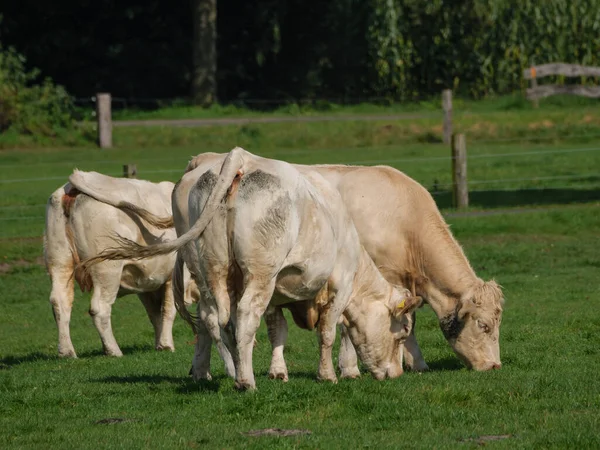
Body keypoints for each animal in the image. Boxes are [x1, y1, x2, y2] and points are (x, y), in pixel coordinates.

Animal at [45, 172, 199, 358]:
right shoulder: (176, 278)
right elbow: (169, 310)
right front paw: (166, 345)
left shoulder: (146, 284)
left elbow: (154, 314)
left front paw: (159, 345)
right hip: (107, 270)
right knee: (99, 308)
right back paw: (113, 350)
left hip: (60, 261)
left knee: (59, 302)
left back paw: (67, 351)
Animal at [82, 149, 424, 390]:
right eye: (402, 331)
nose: (395, 374)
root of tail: (241, 158)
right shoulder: (340, 285)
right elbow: (327, 331)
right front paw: (329, 375)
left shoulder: (276, 296)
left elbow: (276, 331)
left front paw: (278, 372)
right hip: (260, 273)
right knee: (244, 316)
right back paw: (245, 381)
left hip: (207, 268)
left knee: (213, 319)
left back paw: (217, 371)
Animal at [184, 153, 506, 370]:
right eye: (484, 325)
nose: (494, 366)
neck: (405, 220)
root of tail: (206, 159)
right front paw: (355, 366)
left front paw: (413, 362)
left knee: (209, 318)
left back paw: (202, 372)